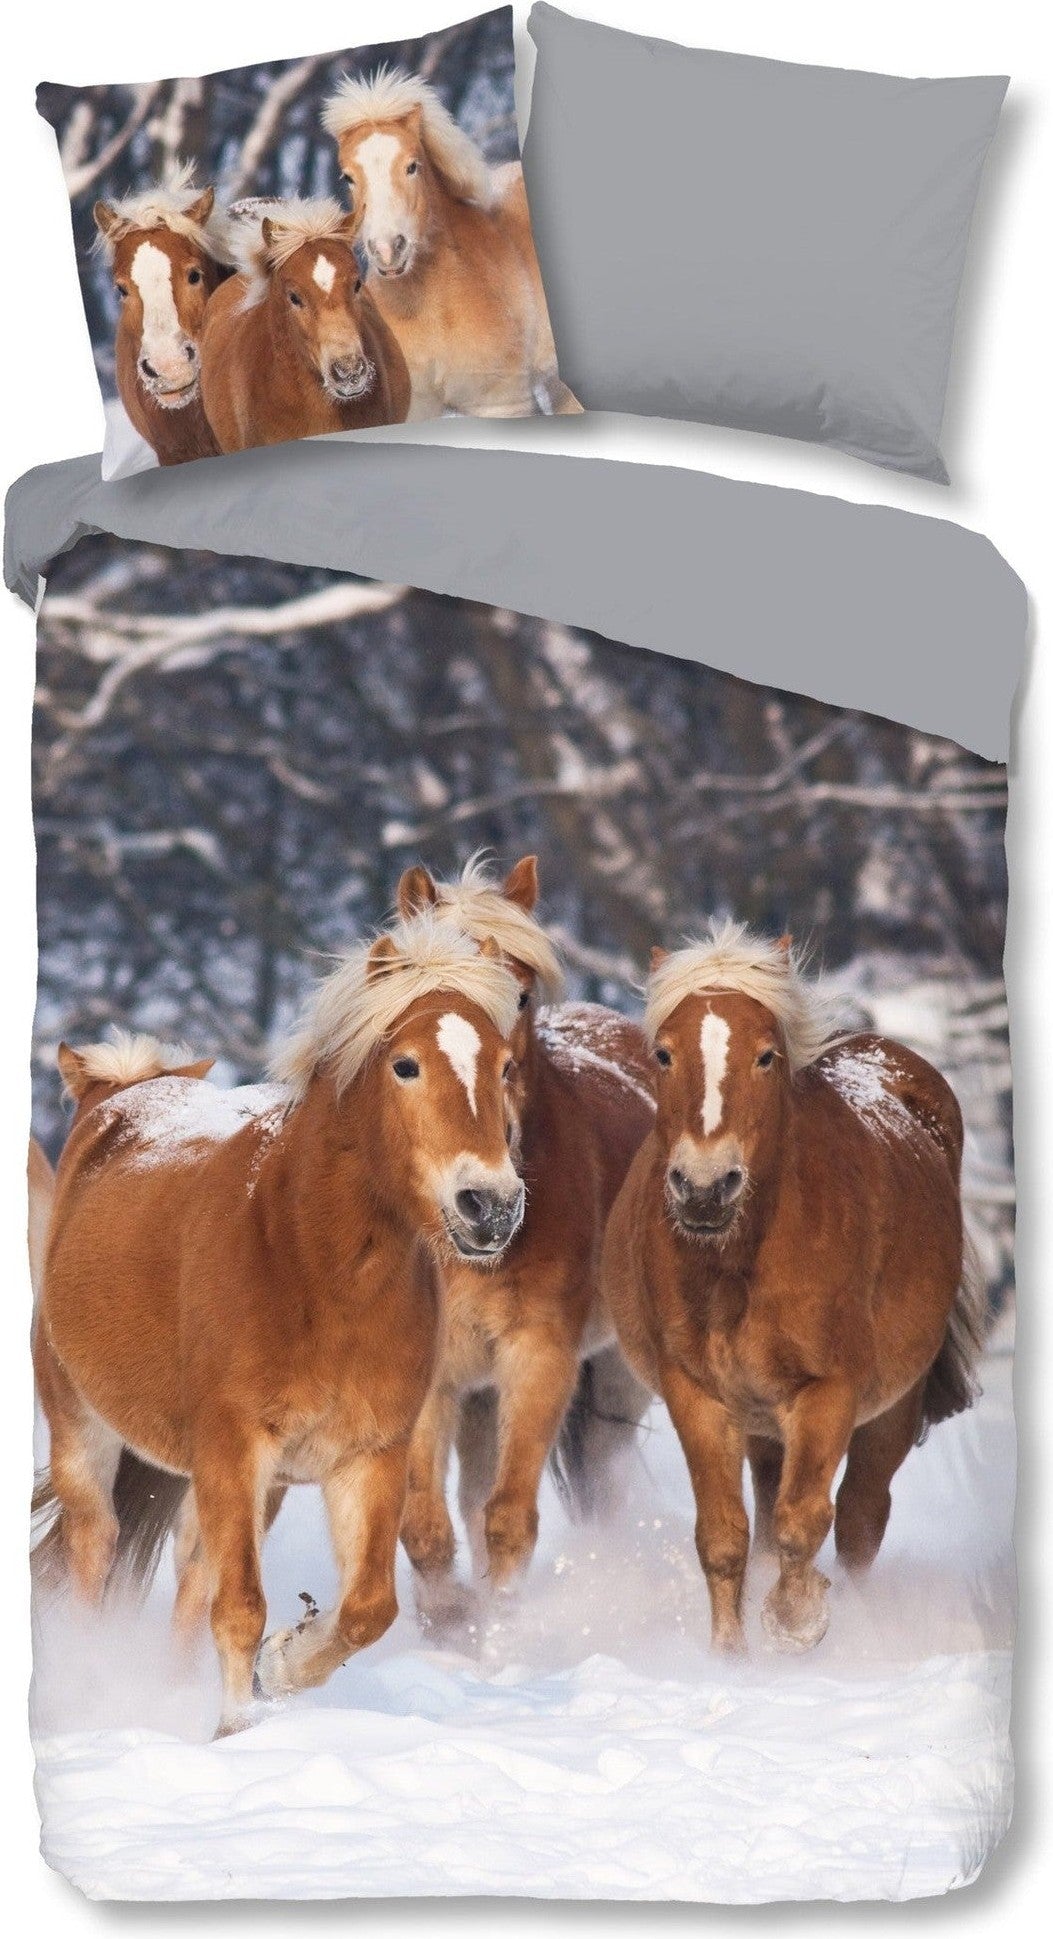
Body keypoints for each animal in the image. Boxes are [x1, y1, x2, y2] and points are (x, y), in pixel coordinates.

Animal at [33, 918, 523, 1735]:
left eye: (507, 1065)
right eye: (405, 1065)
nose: (491, 1204)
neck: (308, 1266)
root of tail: (119, 1093)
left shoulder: (367, 1455)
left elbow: (365, 1609)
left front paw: (281, 1668)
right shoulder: (236, 1448)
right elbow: (239, 1606)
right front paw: (239, 1721)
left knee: (191, 1574)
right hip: (83, 1429)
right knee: (94, 1548)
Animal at [394, 856, 654, 1630]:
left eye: (521, 993)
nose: (491, 1200)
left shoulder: (538, 1358)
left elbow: (508, 1521)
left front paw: (504, 1632)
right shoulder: (435, 1377)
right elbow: (427, 1525)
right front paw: (450, 1622)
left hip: (617, 1379)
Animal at [602, 921, 982, 1655]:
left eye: (765, 1057)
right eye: (662, 1054)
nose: (704, 1186)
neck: (741, 1266)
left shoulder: (828, 1391)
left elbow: (803, 1521)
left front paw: (796, 1622)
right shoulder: (698, 1394)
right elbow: (723, 1537)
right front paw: (730, 1657)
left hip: (891, 1407)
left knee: (861, 1516)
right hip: (763, 1423)